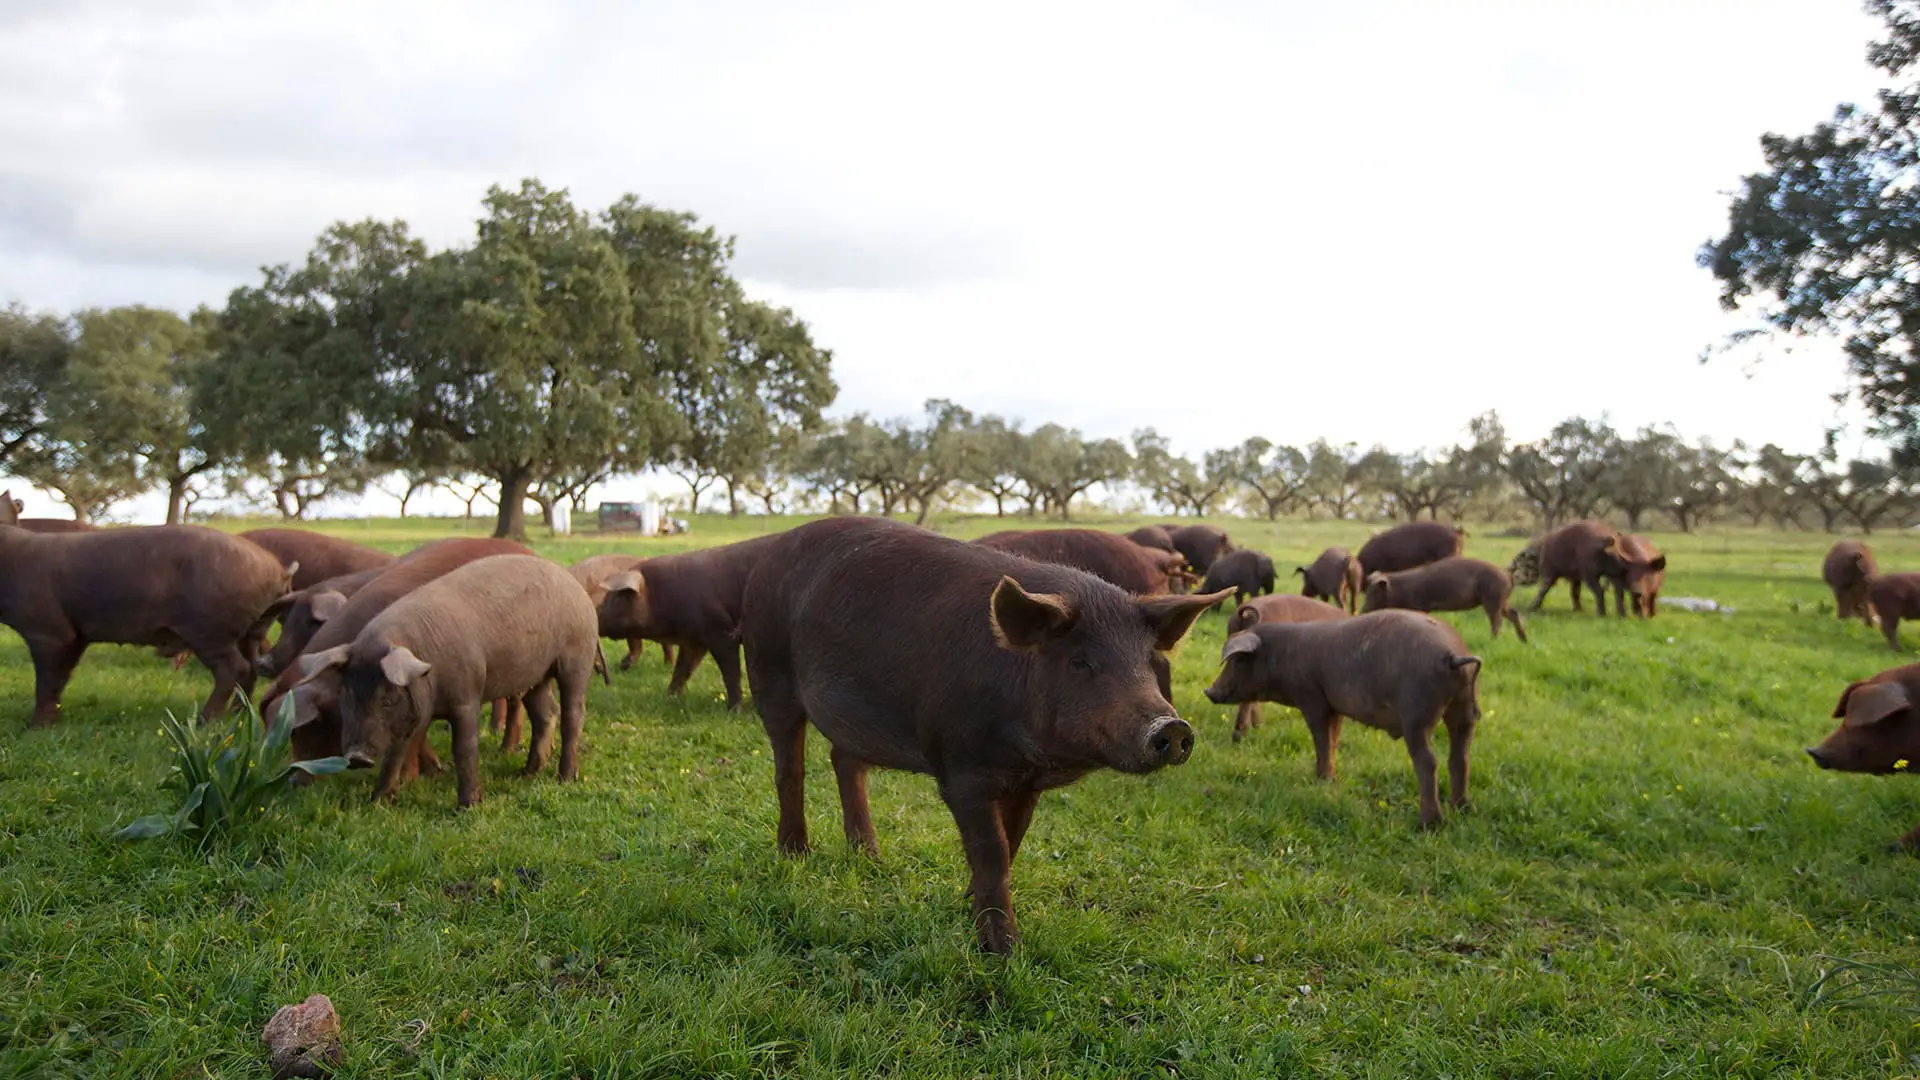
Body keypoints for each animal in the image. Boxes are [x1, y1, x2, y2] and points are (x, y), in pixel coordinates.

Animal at [0, 524, 295, 726]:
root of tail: (278, 568)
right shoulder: (76, 636)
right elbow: (62, 677)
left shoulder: (47, 630)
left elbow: (47, 679)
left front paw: (35, 727)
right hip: (253, 628)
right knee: (252, 667)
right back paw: (238, 715)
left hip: (211, 629)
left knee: (235, 668)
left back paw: (204, 722)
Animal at [294, 554, 605, 808]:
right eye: (347, 694)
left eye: (388, 697)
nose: (357, 756)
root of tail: (576, 586)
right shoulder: (412, 714)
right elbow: (395, 754)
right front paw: (377, 801)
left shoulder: (467, 694)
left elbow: (464, 748)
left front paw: (468, 807)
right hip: (534, 674)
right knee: (546, 712)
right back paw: (527, 773)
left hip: (577, 656)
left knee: (573, 714)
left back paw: (566, 778)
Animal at [741, 516, 1227, 954]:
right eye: (1081, 662)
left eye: (1146, 661)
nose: (1172, 726)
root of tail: (767, 557)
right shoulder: (961, 771)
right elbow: (992, 850)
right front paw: (1003, 951)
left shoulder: (1029, 783)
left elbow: (1011, 844)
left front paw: (967, 904)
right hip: (769, 673)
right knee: (790, 769)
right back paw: (795, 855)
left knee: (845, 762)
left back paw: (870, 857)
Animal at [1203, 610, 1483, 827]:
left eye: (1239, 659)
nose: (1209, 691)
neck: (1282, 657)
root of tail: (1453, 654)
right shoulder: (1334, 706)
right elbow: (1333, 739)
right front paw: (1331, 778)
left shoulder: (1312, 698)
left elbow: (1320, 739)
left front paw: (1320, 779)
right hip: (1463, 708)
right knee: (1460, 756)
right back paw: (1462, 808)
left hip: (1417, 717)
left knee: (1428, 762)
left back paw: (1429, 823)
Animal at [1361, 556, 1529, 642]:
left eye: (1374, 593)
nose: (1362, 610)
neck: (1398, 589)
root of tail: (1507, 574)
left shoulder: (1420, 604)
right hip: (1503, 601)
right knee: (1514, 613)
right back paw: (1523, 639)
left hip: (1493, 598)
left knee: (1497, 622)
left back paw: (1493, 641)